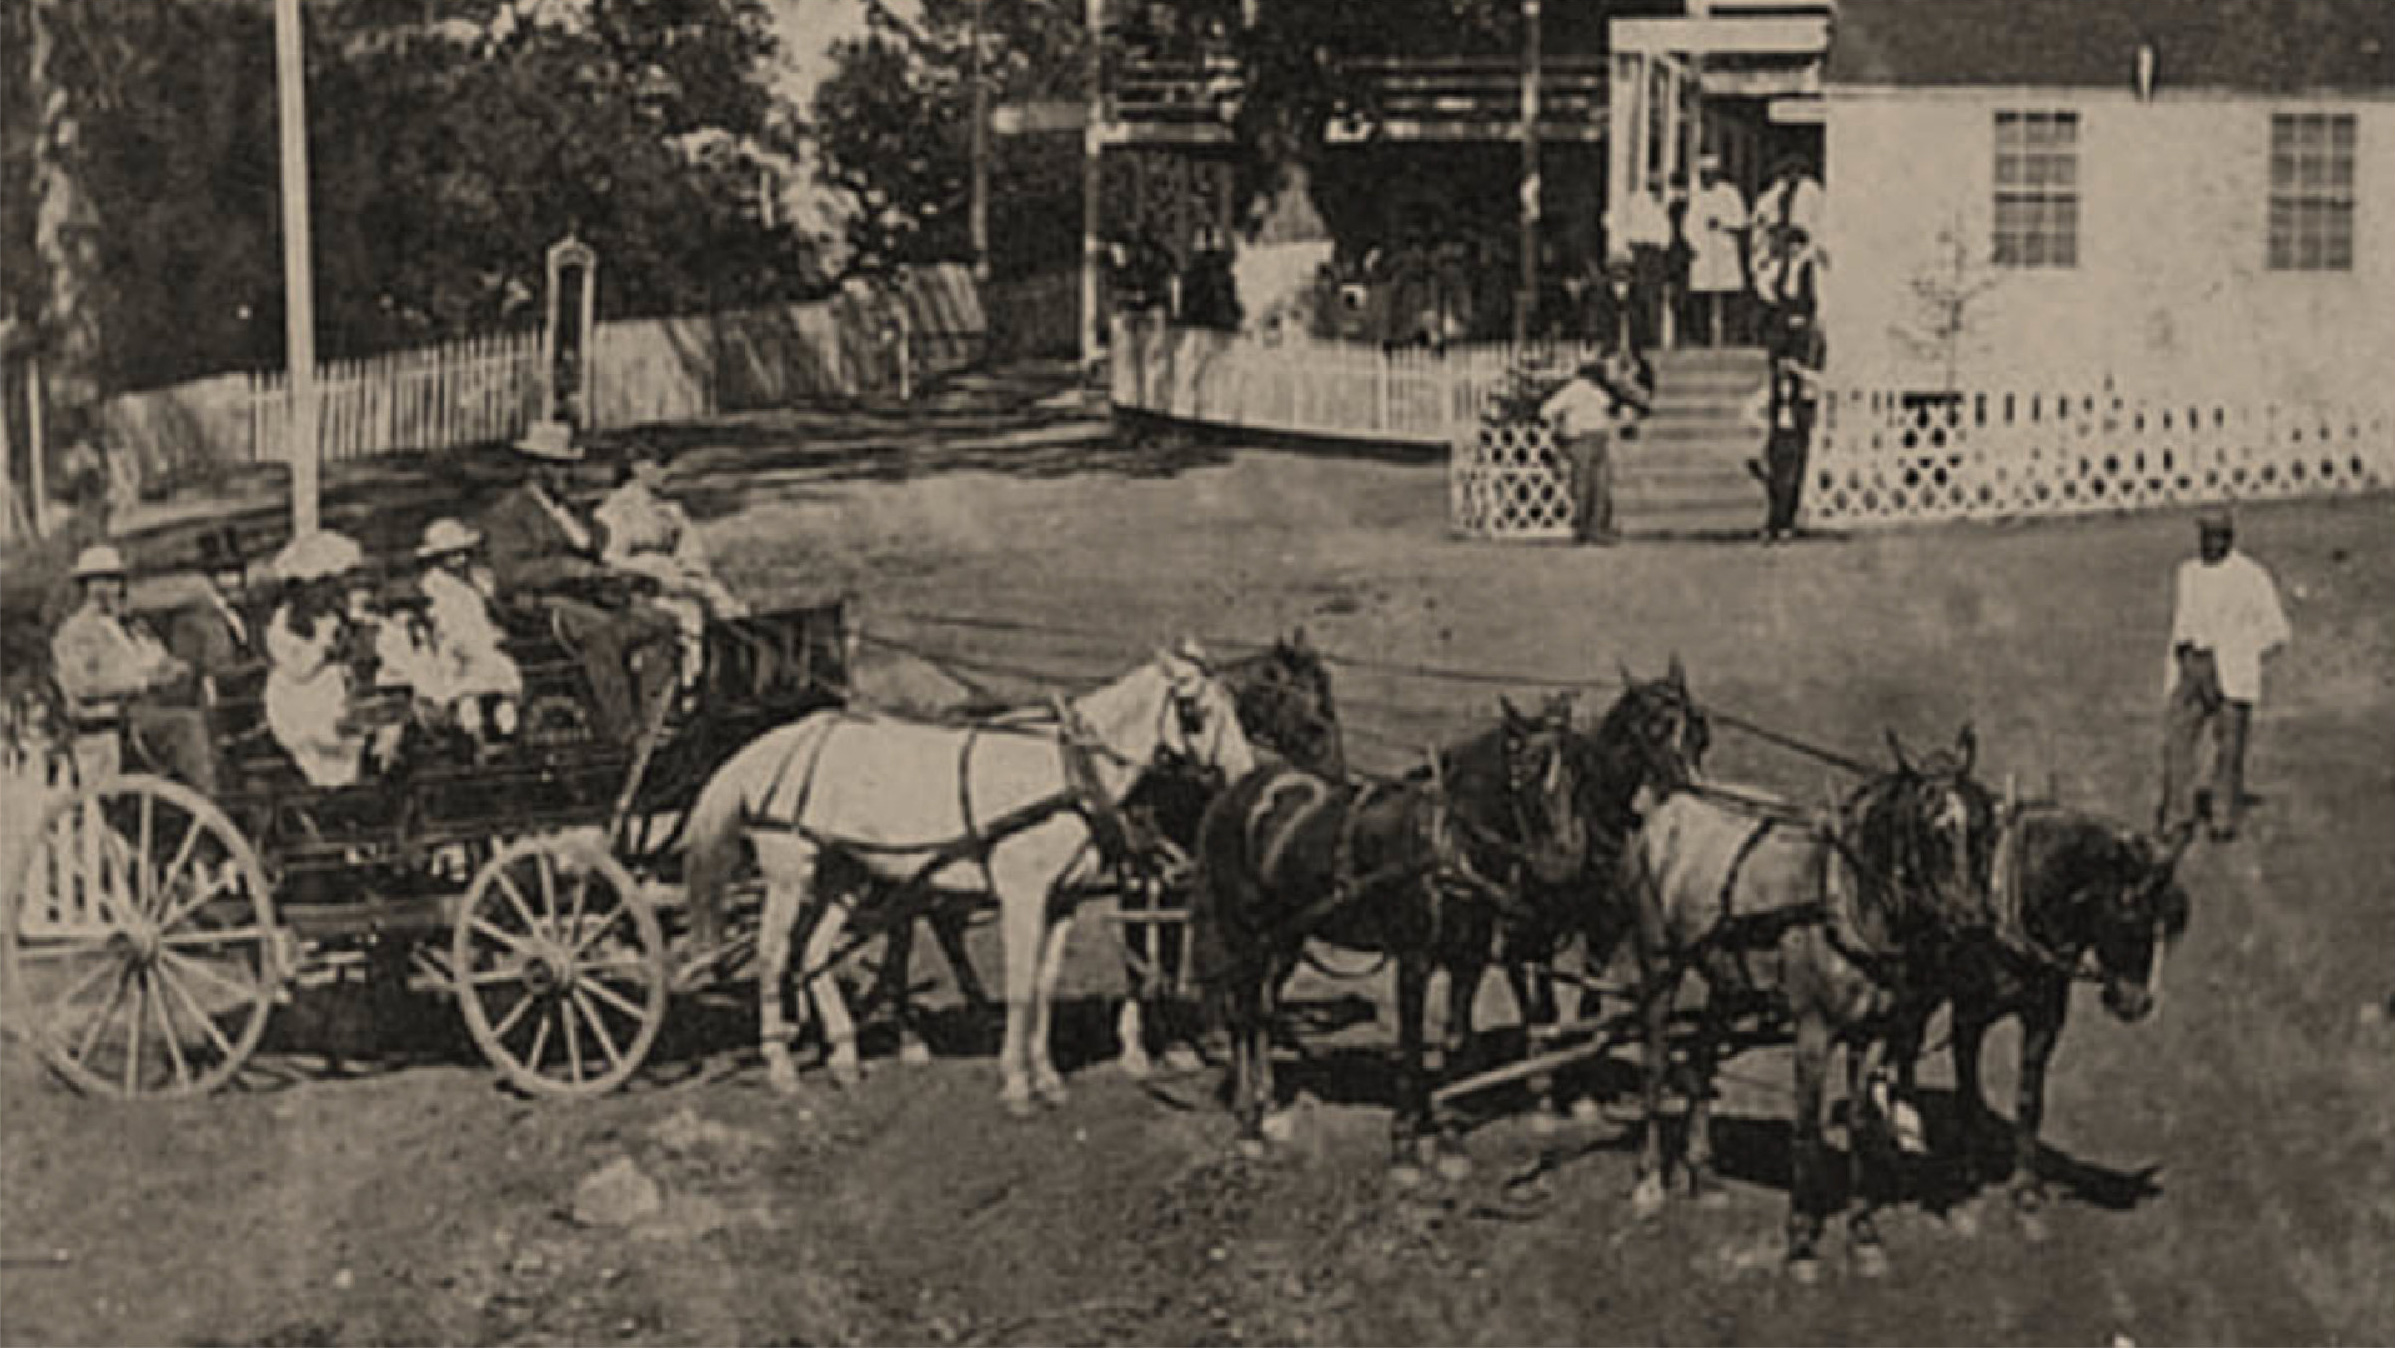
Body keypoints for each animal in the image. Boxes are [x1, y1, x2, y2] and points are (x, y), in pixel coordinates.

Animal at [680, 646, 1254, 1110]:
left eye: (1235, 705)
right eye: (1196, 710)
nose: (1244, 774)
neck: (1069, 769)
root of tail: (770, 746)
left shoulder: (1063, 899)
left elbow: (1044, 984)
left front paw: (1047, 1077)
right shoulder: (1023, 895)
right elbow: (1021, 982)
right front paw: (1016, 1083)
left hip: (843, 874)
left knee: (813, 951)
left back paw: (845, 1059)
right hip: (787, 873)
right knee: (773, 955)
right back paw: (780, 1065)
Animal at [1183, 708, 1590, 1182]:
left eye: (1580, 774)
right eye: (1524, 772)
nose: (1563, 861)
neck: (1446, 846)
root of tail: (1236, 792)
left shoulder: (1467, 961)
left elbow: (1455, 1042)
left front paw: (1451, 1140)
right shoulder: (1414, 960)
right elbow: (1410, 1046)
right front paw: (1405, 1147)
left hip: (1287, 936)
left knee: (1264, 1009)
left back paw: (1270, 1106)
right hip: (1245, 930)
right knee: (1244, 1014)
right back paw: (1249, 1124)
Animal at [1887, 799, 2193, 1235]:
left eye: (2164, 923)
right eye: (2127, 912)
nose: (2135, 1004)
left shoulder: (2043, 1020)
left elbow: (2029, 1100)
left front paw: (2025, 1187)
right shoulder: (1969, 1017)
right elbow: (1966, 1089)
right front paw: (1967, 1168)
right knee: (1906, 1045)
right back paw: (1907, 1128)